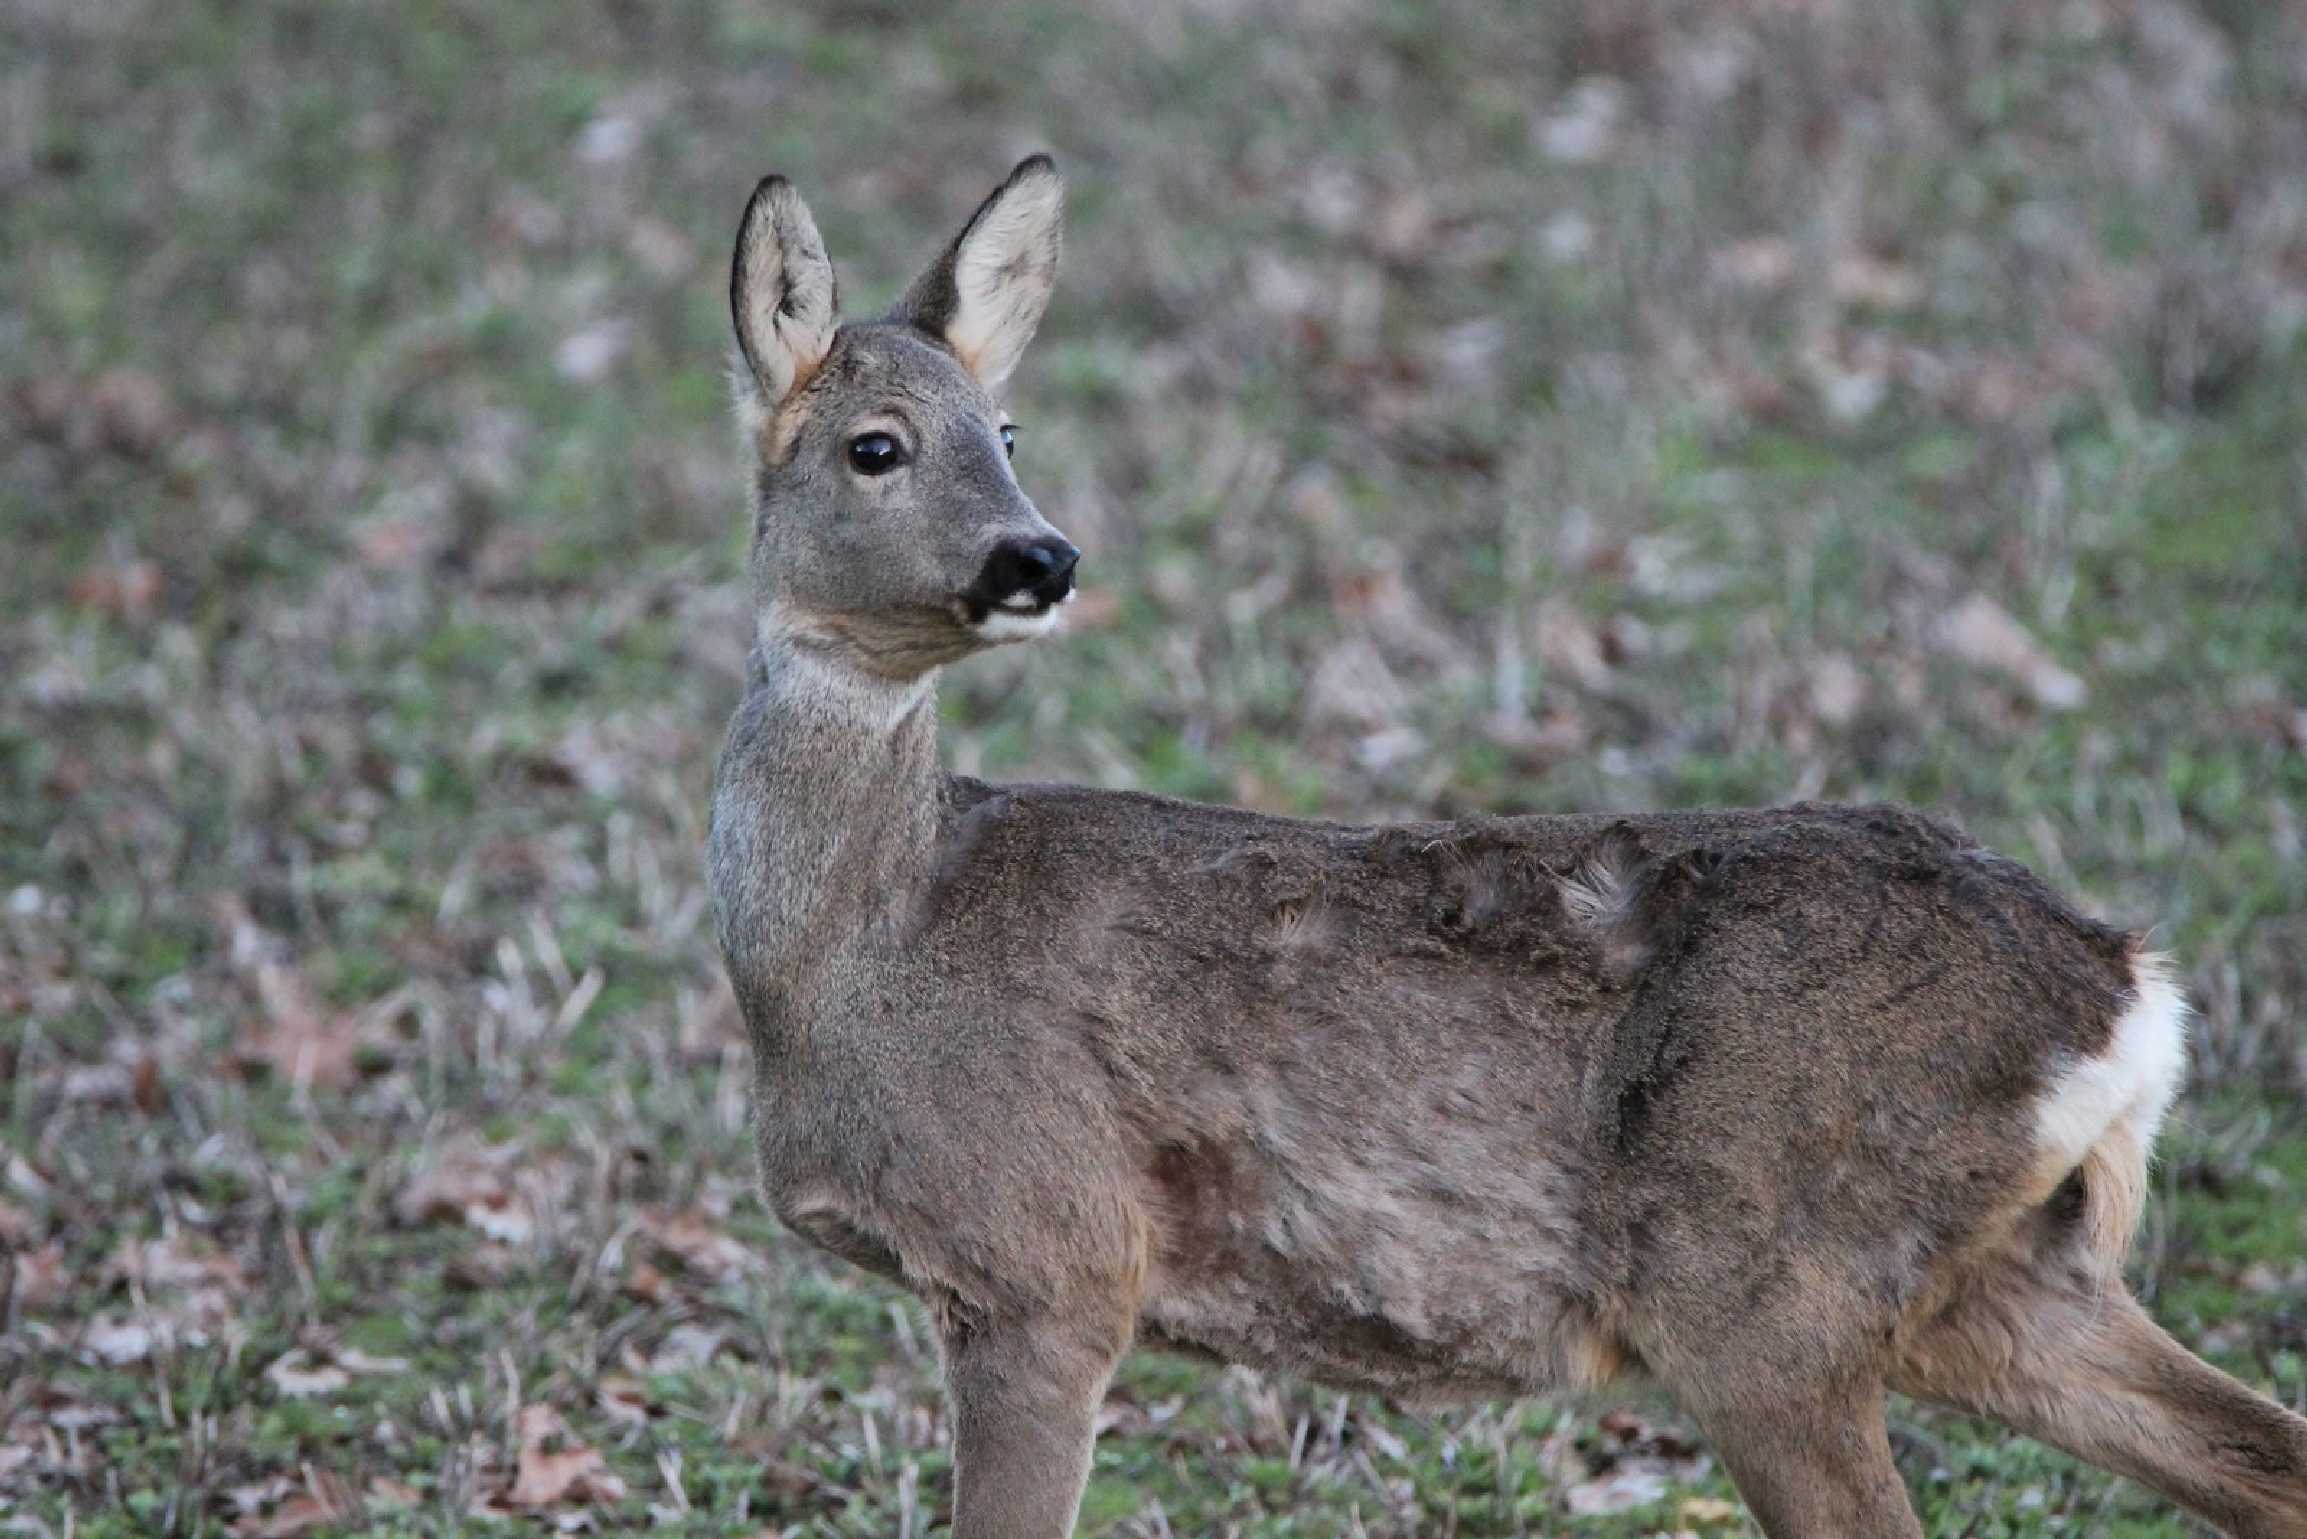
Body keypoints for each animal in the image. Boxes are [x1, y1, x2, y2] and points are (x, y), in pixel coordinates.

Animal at [705, 159, 2307, 1539]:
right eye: (877, 445)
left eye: (1006, 433)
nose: (1040, 557)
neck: (868, 954)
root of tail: (2124, 989)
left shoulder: (1046, 1253)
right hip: (1999, 1284)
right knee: (2257, 1457)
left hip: (1766, 1290)